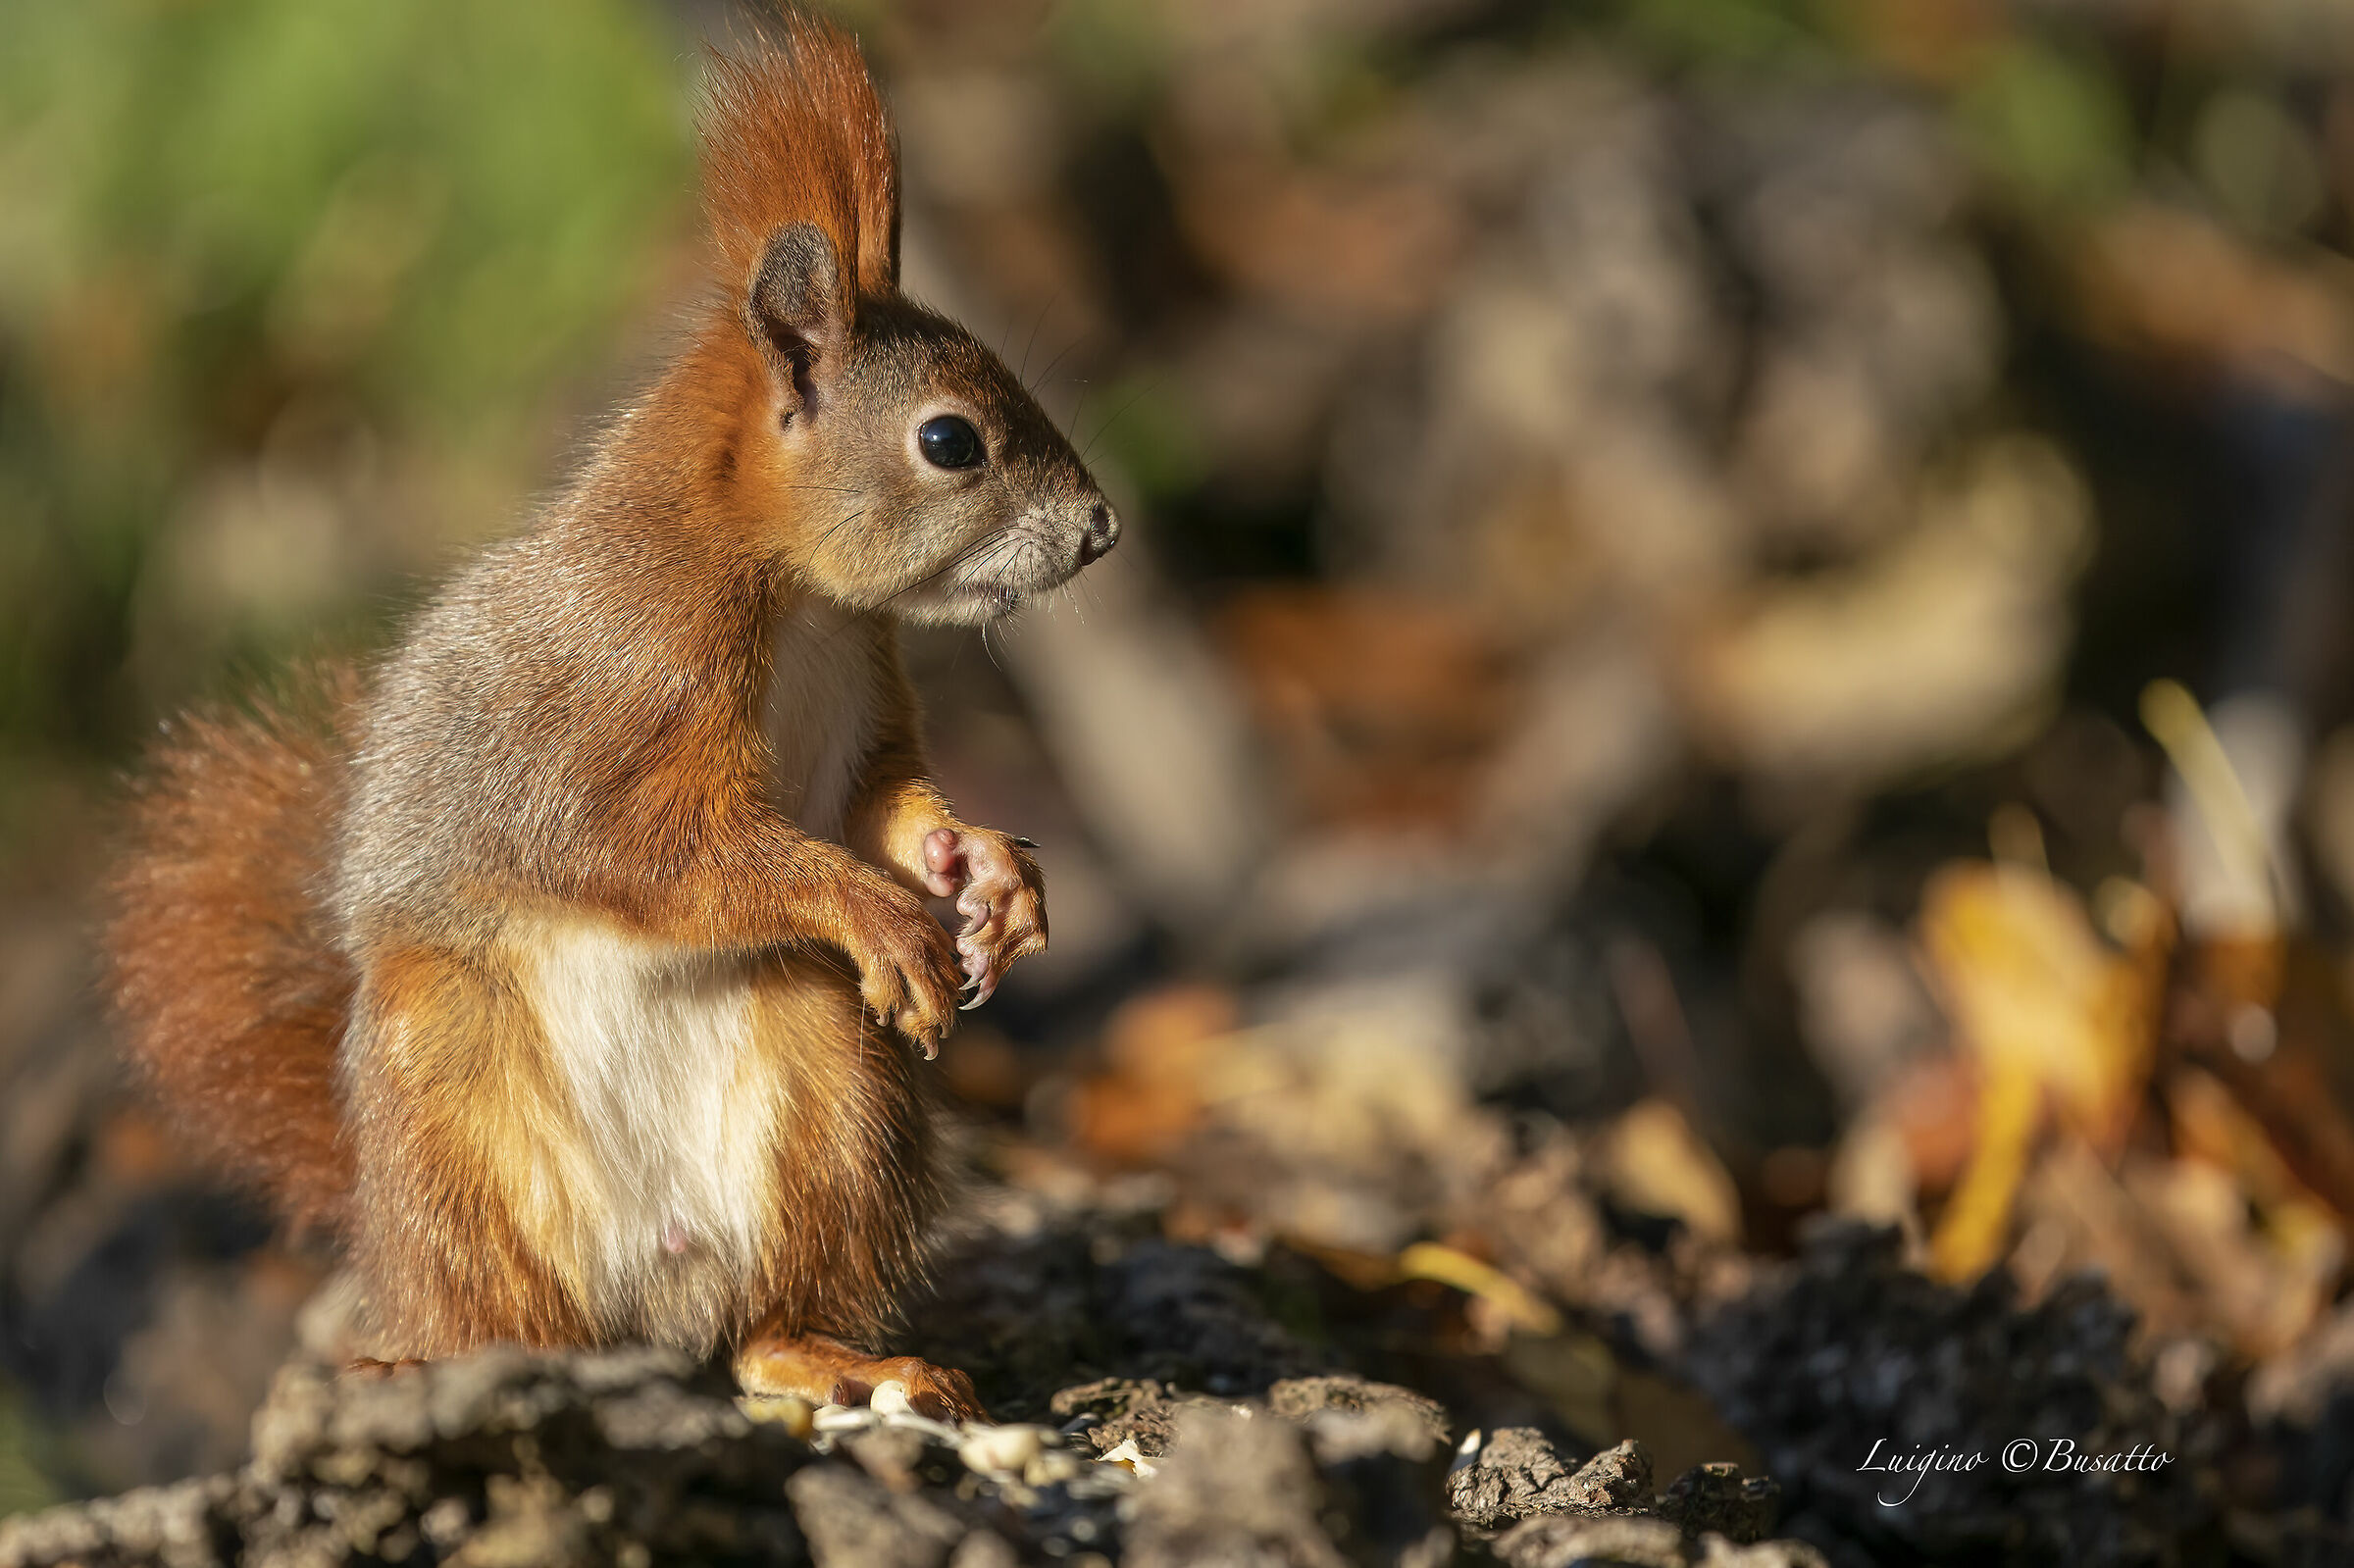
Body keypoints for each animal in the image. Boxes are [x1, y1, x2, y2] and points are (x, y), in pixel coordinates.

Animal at [98, 6, 1117, 1422]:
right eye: (951, 441)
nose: (1101, 529)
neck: (788, 592)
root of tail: (648, 1294)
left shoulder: (865, 700)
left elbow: (884, 802)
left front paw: (988, 872)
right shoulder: (618, 700)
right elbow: (648, 854)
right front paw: (876, 910)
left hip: (829, 1077)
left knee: (759, 1324)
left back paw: (837, 1354)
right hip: (452, 1092)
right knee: (508, 1307)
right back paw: (445, 1358)